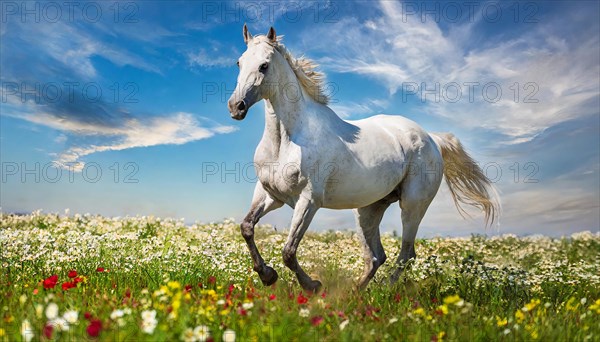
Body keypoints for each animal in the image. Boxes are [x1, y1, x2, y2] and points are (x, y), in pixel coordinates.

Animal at [227, 25, 500, 292]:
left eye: (264, 65)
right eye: (239, 62)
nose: (236, 106)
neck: (288, 140)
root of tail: (431, 138)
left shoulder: (308, 200)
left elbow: (288, 252)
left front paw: (312, 285)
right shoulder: (270, 195)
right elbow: (247, 228)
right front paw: (267, 275)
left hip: (413, 205)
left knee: (406, 254)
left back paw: (385, 290)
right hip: (369, 208)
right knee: (377, 256)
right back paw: (355, 292)